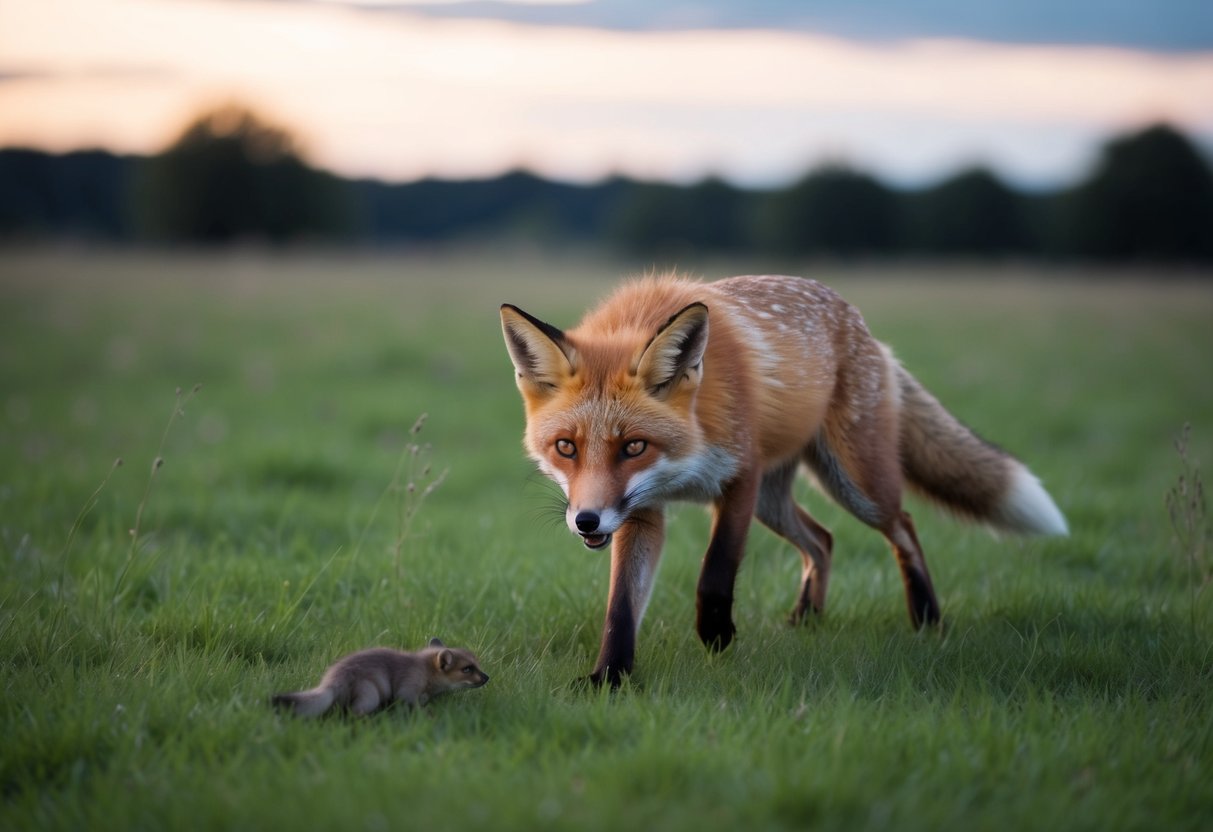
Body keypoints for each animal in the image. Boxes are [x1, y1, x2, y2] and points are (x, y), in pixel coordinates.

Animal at [271, 638, 489, 717]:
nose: (487, 677)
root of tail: (331, 682)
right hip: (370, 694)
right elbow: (413, 704)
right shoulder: (408, 688)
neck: (426, 670)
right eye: (467, 669)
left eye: (476, 663)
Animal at [500, 273, 1067, 687]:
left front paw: (717, 636)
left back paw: (927, 620)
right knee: (823, 539)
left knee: (903, 525)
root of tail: (865, 328)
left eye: (634, 447)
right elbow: (621, 606)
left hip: (854, 483)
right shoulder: (641, 509)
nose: (586, 521)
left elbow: (716, 571)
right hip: (777, 502)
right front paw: (609, 679)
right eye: (566, 448)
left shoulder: (739, 478)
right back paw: (807, 620)